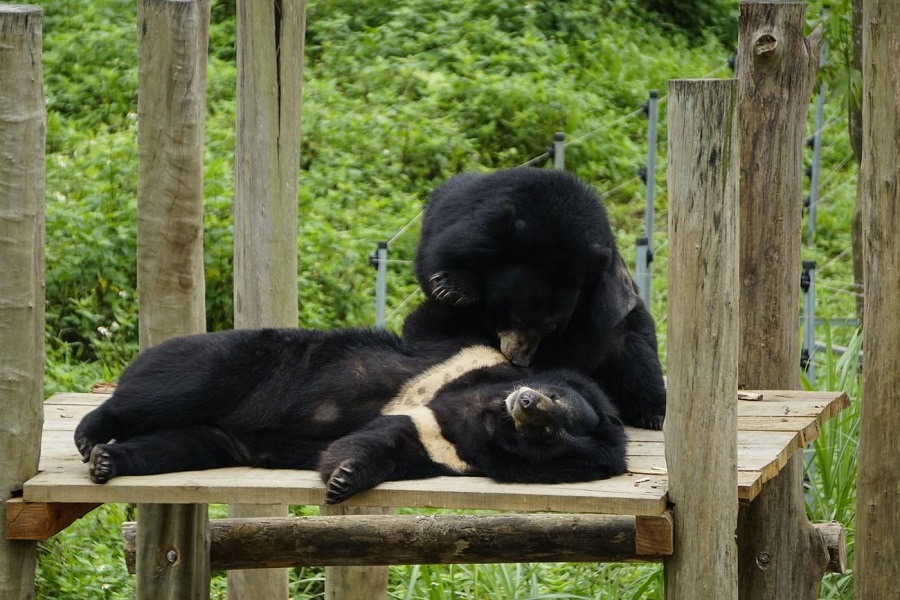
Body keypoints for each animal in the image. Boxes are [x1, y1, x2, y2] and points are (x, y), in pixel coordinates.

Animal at [73, 327, 627, 504]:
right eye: (558, 403)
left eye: (549, 433)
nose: (527, 403)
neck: (488, 413)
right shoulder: (464, 369)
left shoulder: (450, 444)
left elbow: (392, 440)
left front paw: (341, 476)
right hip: (238, 365)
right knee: (168, 386)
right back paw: (90, 433)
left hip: (222, 436)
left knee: (180, 444)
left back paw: (109, 461)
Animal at [403, 167, 667, 430]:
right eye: (516, 317)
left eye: (551, 328)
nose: (520, 360)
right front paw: (452, 288)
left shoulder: (601, 302)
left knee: (636, 351)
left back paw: (652, 414)